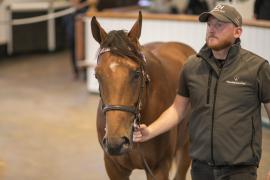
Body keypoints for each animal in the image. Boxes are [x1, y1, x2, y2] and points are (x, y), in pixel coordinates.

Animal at [92, 11, 195, 179]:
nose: (117, 143)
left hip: (186, 147)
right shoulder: (113, 167)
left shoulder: (159, 168)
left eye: (136, 73)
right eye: (96, 75)